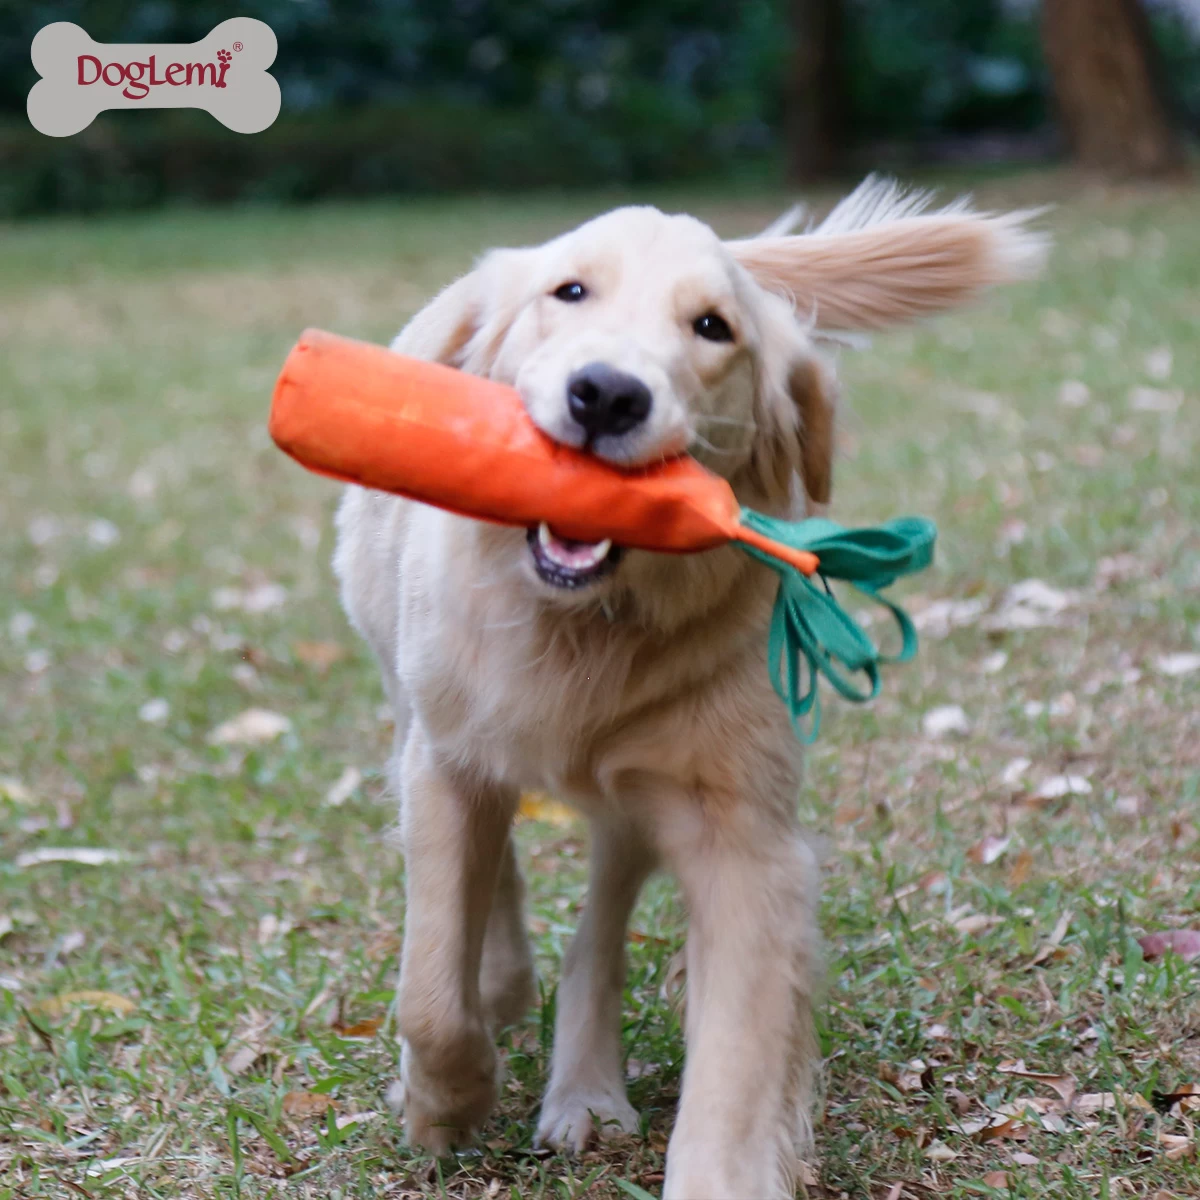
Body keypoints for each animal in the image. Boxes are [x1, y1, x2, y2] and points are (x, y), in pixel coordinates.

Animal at [331, 180, 1041, 1200]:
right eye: (569, 291)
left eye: (713, 327)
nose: (607, 393)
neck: (586, 626)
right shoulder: (447, 758)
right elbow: (429, 984)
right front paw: (446, 1103)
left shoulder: (740, 837)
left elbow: (736, 1072)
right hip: (409, 703)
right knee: (489, 880)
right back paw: (502, 990)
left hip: (636, 797)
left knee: (597, 933)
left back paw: (585, 1090)